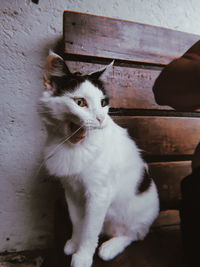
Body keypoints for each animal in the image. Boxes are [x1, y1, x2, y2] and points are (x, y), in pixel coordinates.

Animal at [39, 51, 159, 267]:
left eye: (103, 103)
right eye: (79, 102)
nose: (101, 119)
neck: (75, 146)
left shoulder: (99, 195)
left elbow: (90, 230)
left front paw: (83, 257)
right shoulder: (71, 190)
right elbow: (78, 221)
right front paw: (74, 243)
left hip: (135, 214)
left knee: (135, 234)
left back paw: (110, 247)